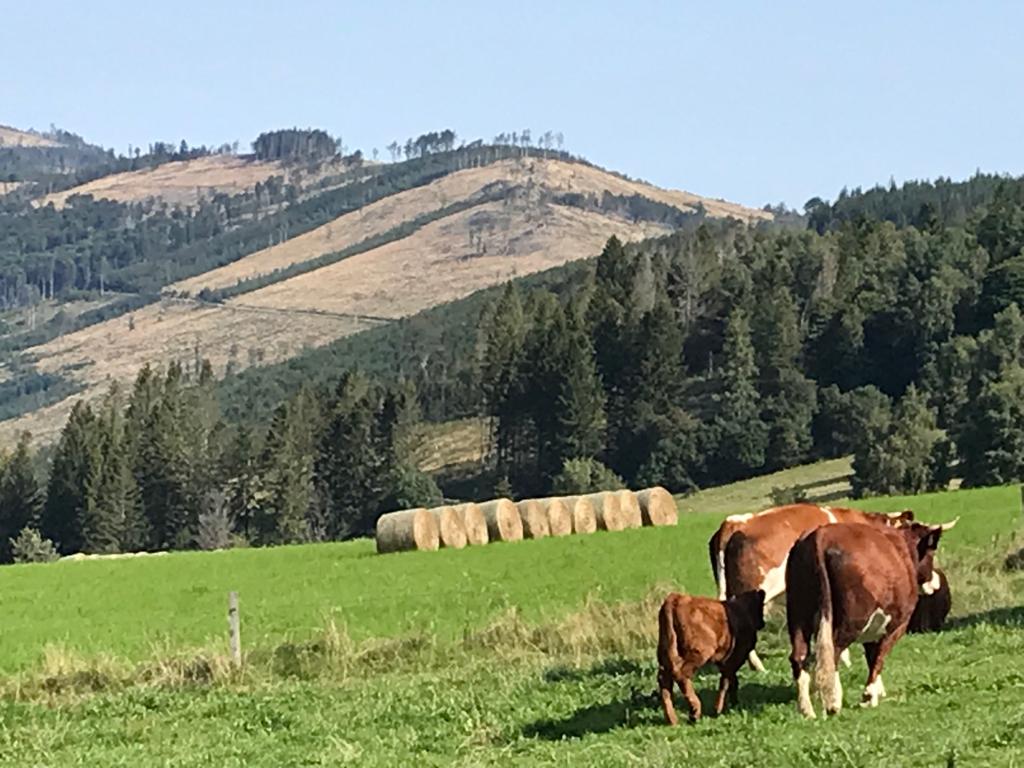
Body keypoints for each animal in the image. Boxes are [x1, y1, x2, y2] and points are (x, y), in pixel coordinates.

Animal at [659, 593, 765, 724]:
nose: (763, 623)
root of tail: (676, 598)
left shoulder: (726, 663)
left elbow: (732, 681)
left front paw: (733, 704)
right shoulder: (733, 660)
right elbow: (726, 682)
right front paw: (718, 709)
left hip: (666, 653)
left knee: (664, 679)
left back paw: (672, 719)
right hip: (698, 653)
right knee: (680, 674)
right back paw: (695, 711)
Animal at [782, 520, 958, 720]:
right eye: (931, 553)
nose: (935, 582)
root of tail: (820, 535)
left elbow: (871, 655)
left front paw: (877, 691)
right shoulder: (896, 625)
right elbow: (879, 657)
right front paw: (869, 696)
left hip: (797, 613)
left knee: (799, 655)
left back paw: (807, 709)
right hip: (851, 620)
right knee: (832, 652)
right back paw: (833, 702)